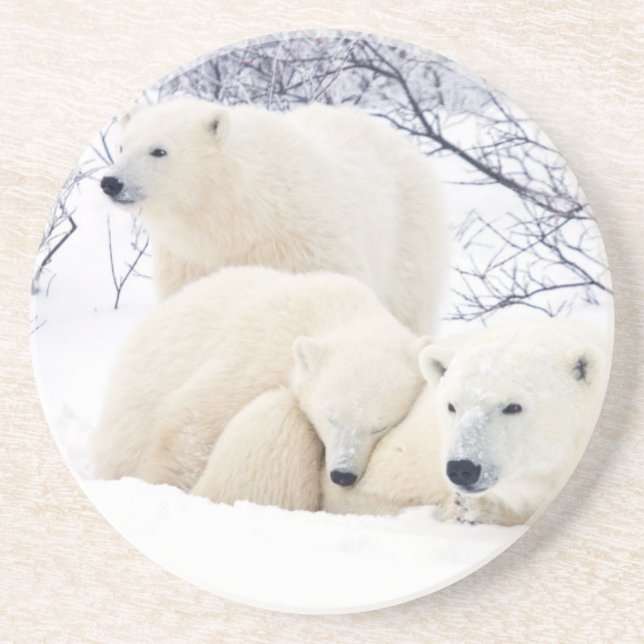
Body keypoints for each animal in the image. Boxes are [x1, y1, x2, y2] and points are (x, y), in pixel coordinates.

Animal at [100, 97, 449, 333]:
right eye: (122, 146)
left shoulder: (306, 245)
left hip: (408, 235)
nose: (111, 182)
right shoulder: (190, 260)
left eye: (159, 150)